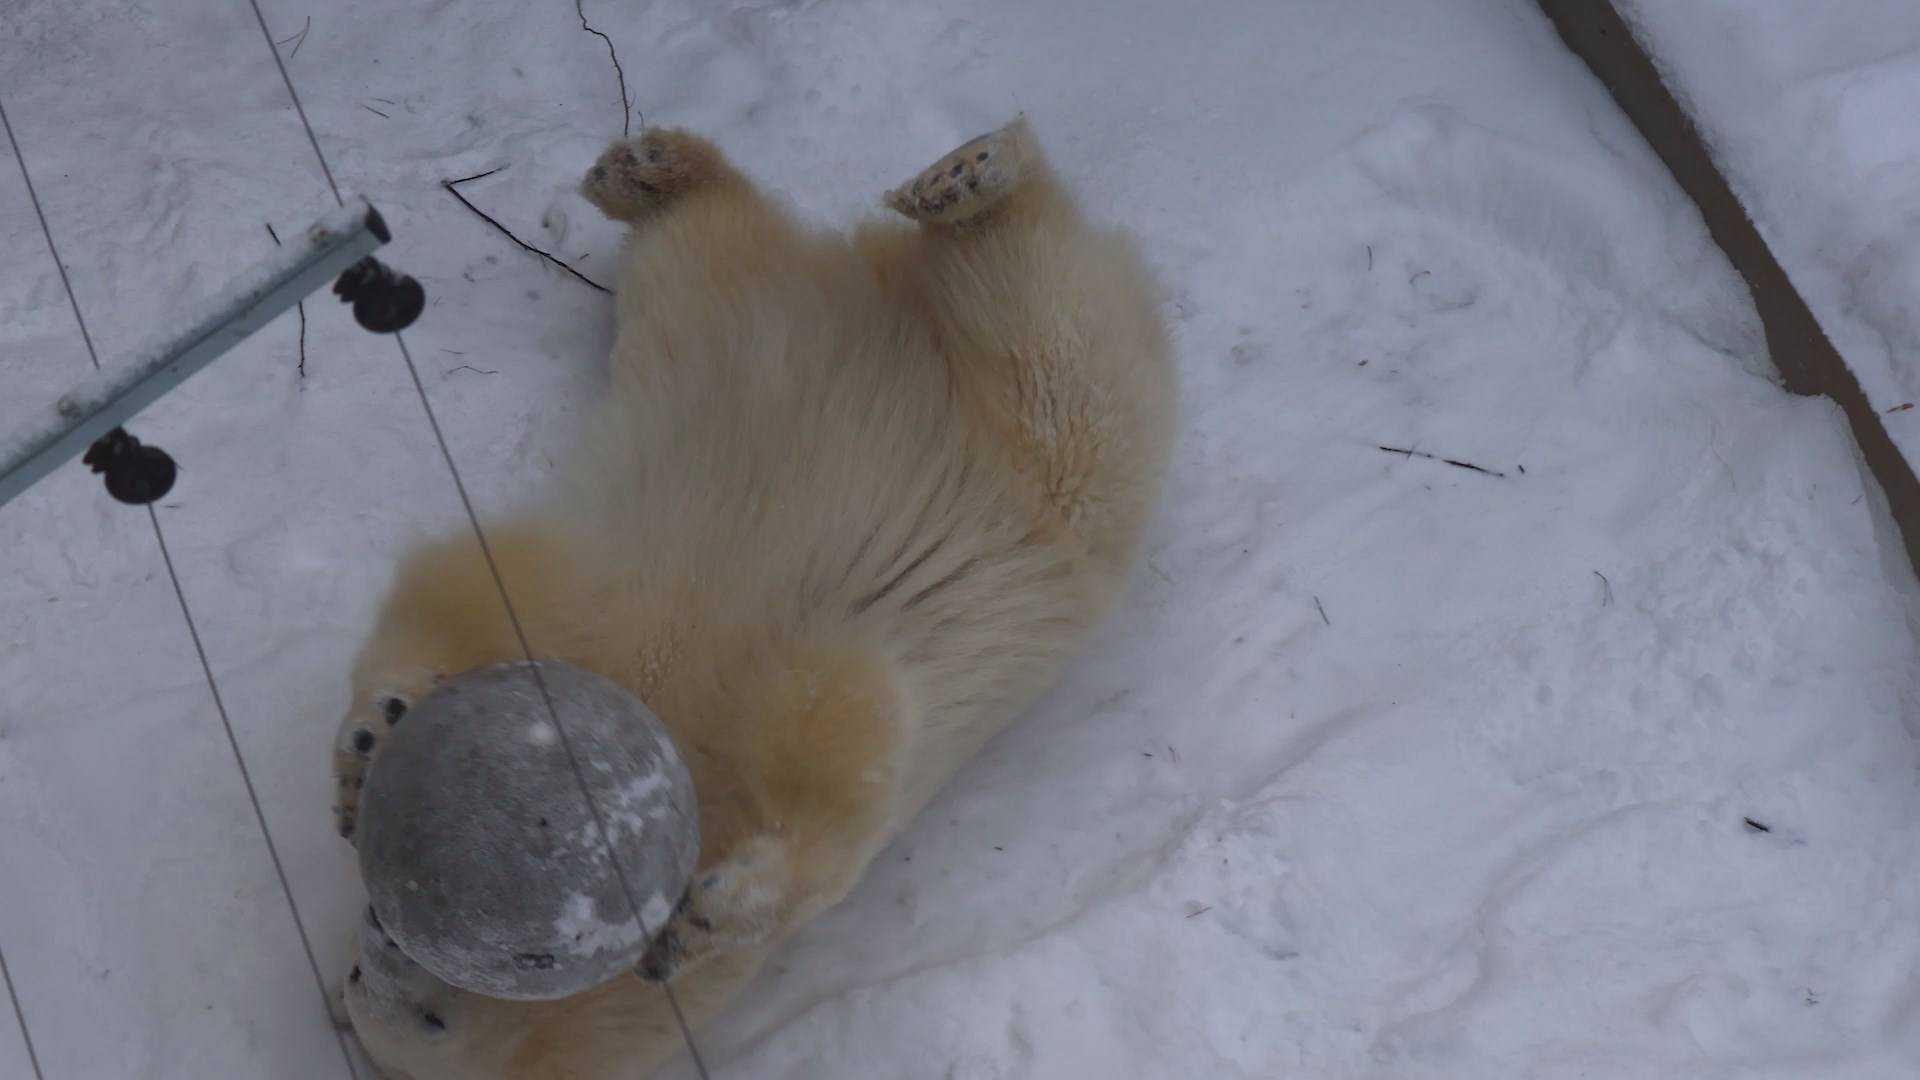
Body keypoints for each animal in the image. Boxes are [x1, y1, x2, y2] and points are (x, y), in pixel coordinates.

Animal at [331, 115, 1176, 1078]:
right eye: (363, 972)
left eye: (430, 1013)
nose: (379, 941)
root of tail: (875, 295)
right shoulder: (614, 604)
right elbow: (465, 590)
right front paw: (372, 739)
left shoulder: (645, 634)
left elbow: (834, 735)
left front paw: (703, 915)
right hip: (727, 327)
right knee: (697, 248)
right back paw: (655, 176)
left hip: (1053, 462)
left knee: (1053, 332)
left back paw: (961, 178)